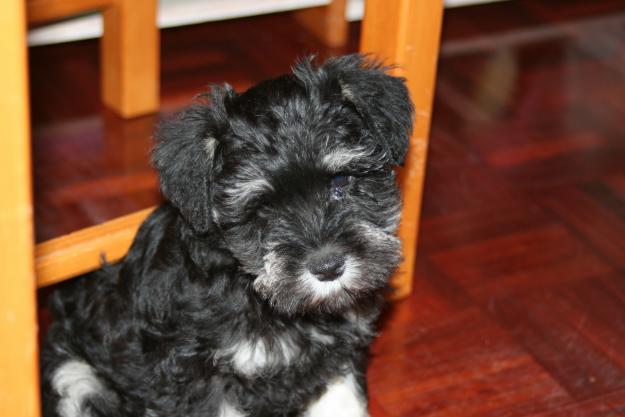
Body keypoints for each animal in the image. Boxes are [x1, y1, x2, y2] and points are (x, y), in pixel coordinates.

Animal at [42, 54, 414, 416]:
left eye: (341, 181)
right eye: (262, 208)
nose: (328, 267)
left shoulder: (337, 356)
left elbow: (344, 402)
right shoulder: (197, 374)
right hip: (74, 376)